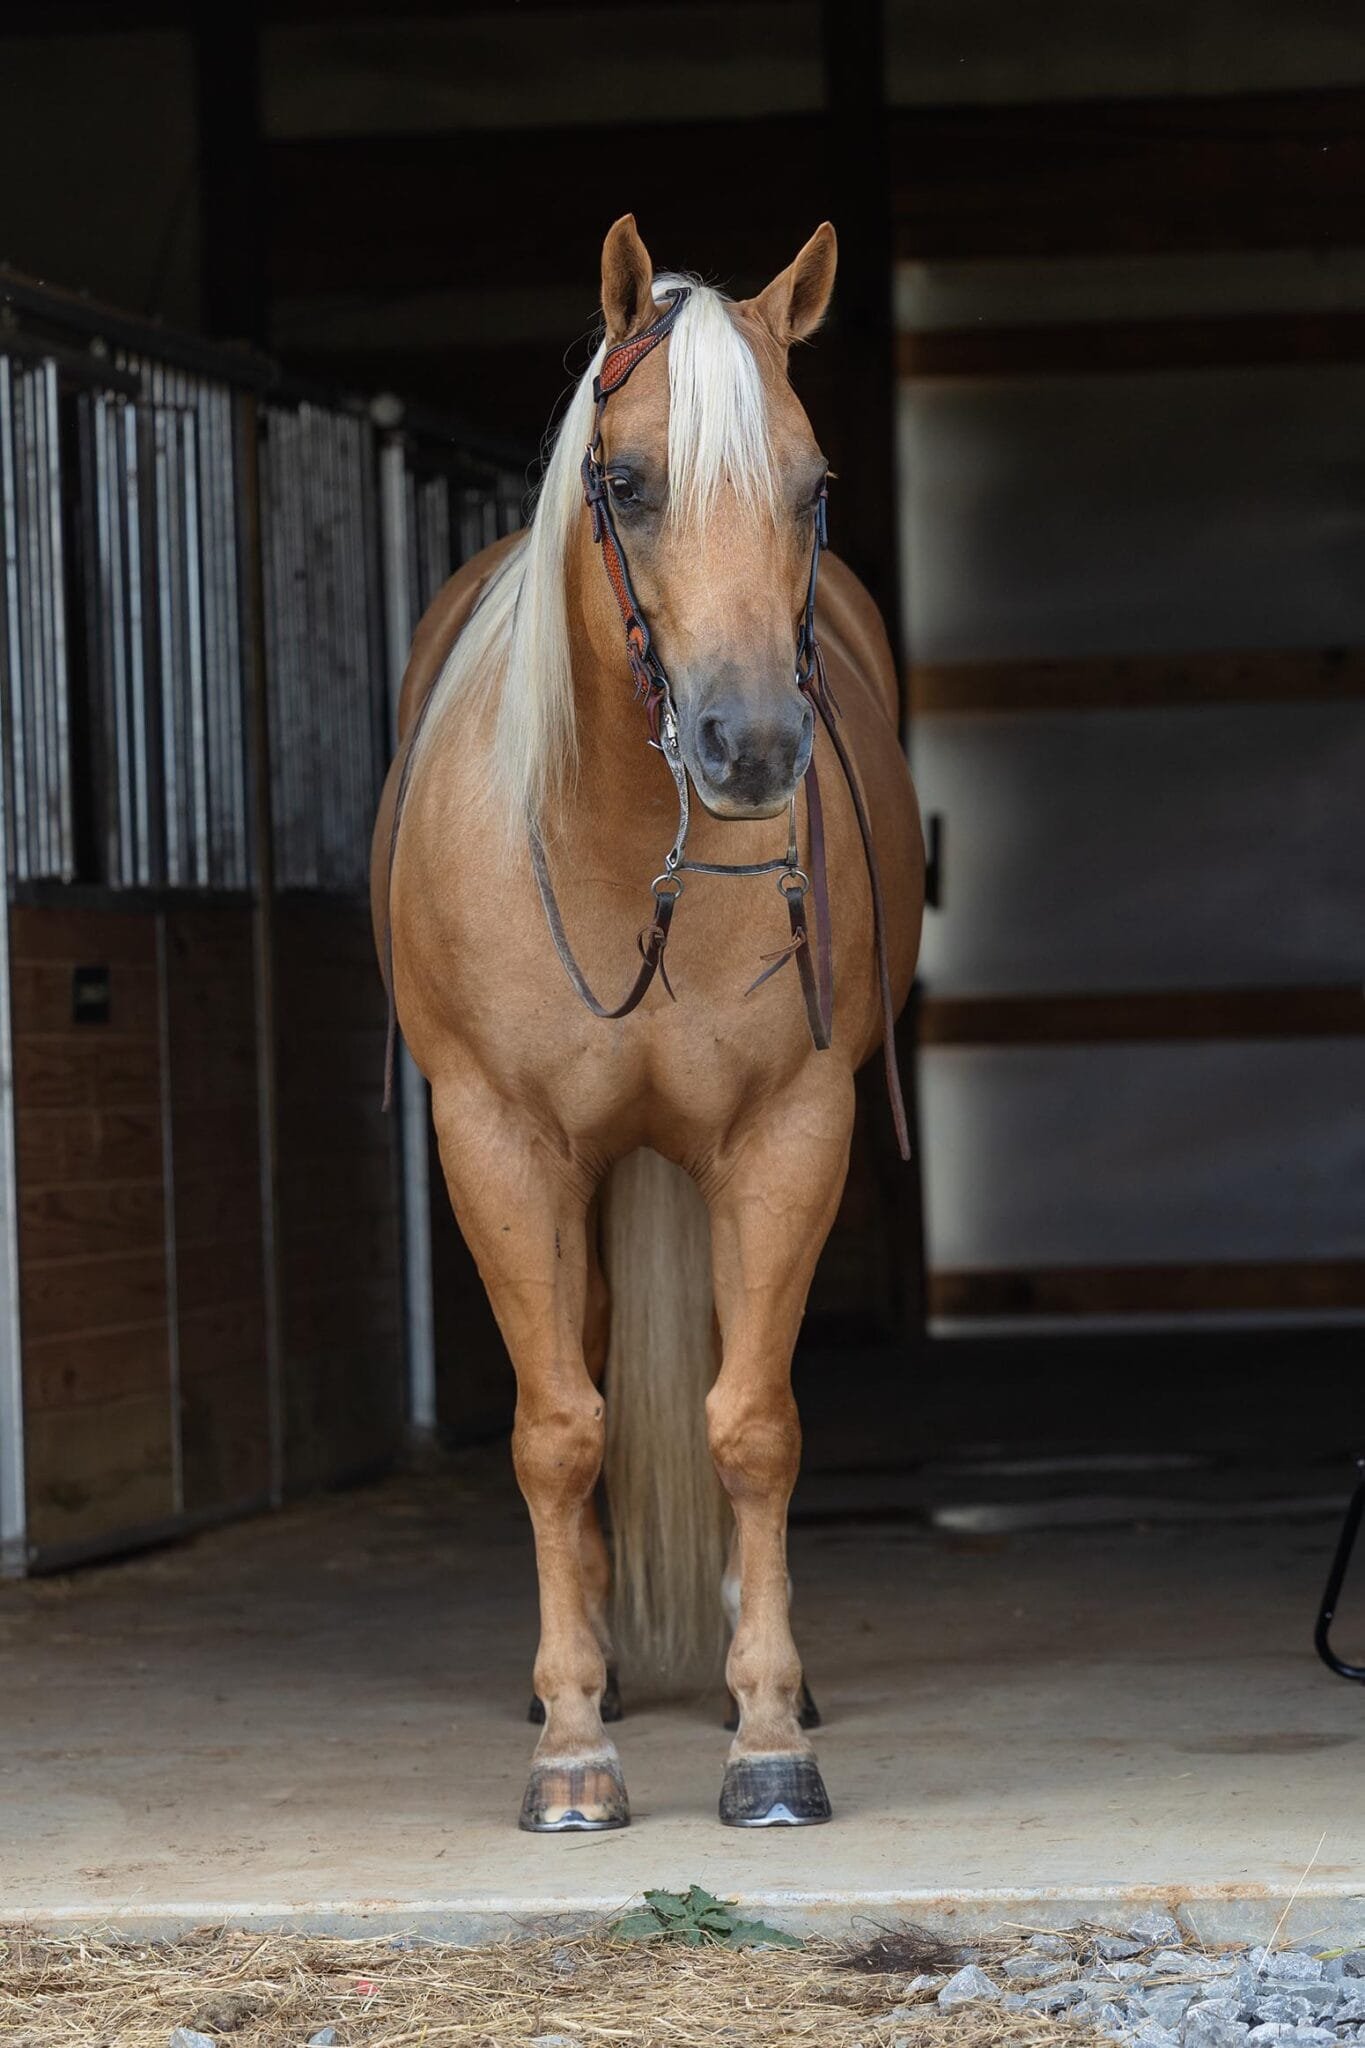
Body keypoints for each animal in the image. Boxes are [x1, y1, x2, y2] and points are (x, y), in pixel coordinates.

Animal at [372, 215, 924, 1832]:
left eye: (812, 484)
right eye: (624, 482)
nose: (751, 747)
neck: (627, 849)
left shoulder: (790, 1131)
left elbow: (753, 1421)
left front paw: (769, 1738)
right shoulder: (497, 1143)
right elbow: (561, 1429)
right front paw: (571, 1750)